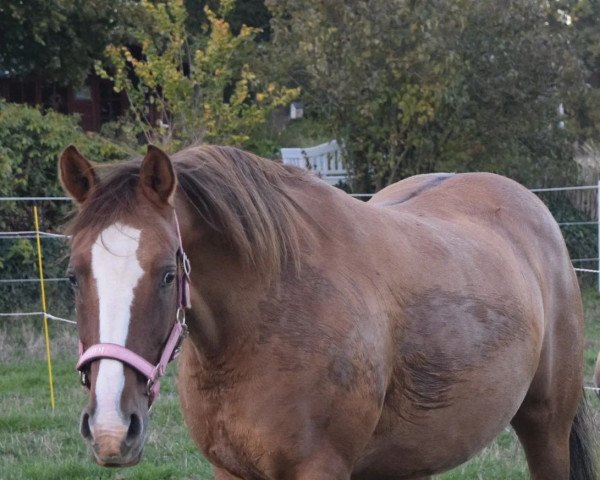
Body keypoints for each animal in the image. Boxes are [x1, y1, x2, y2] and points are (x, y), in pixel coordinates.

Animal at [58, 144, 592, 478]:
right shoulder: (229, 469)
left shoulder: (320, 468)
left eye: (169, 273)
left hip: (546, 429)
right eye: (73, 275)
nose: (111, 427)